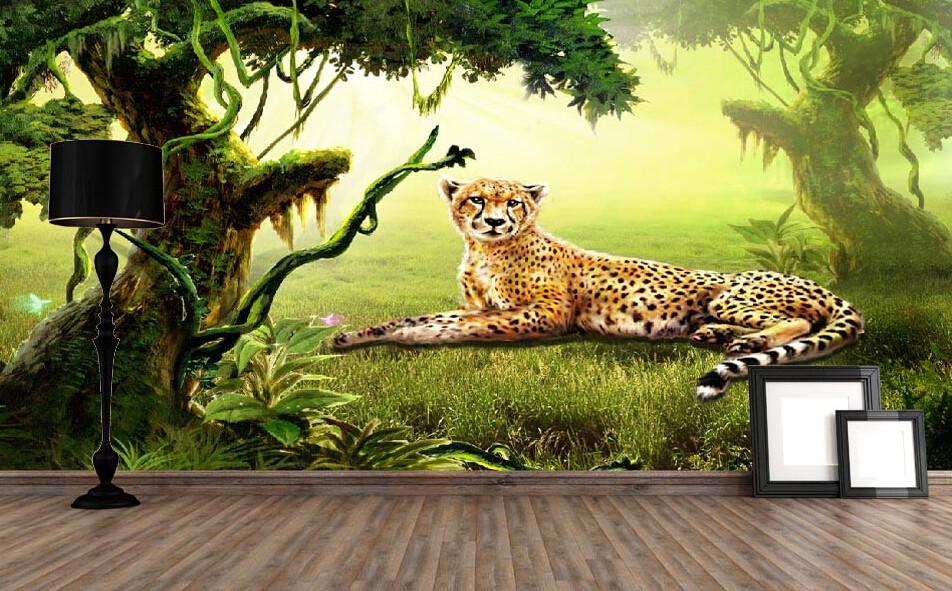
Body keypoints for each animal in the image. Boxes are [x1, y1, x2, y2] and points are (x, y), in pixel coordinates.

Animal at [333, 178, 864, 400]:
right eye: (476, 200)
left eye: (514, 202)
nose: (495, 221)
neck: (487, 252)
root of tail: (816, 281)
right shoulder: (470, 305)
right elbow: (426, 318)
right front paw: (356, 336)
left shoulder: (546, 315)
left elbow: (468, 326)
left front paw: (409, 338)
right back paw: (717, 335)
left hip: (730, 293)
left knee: (795, 322)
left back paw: (742, 340)